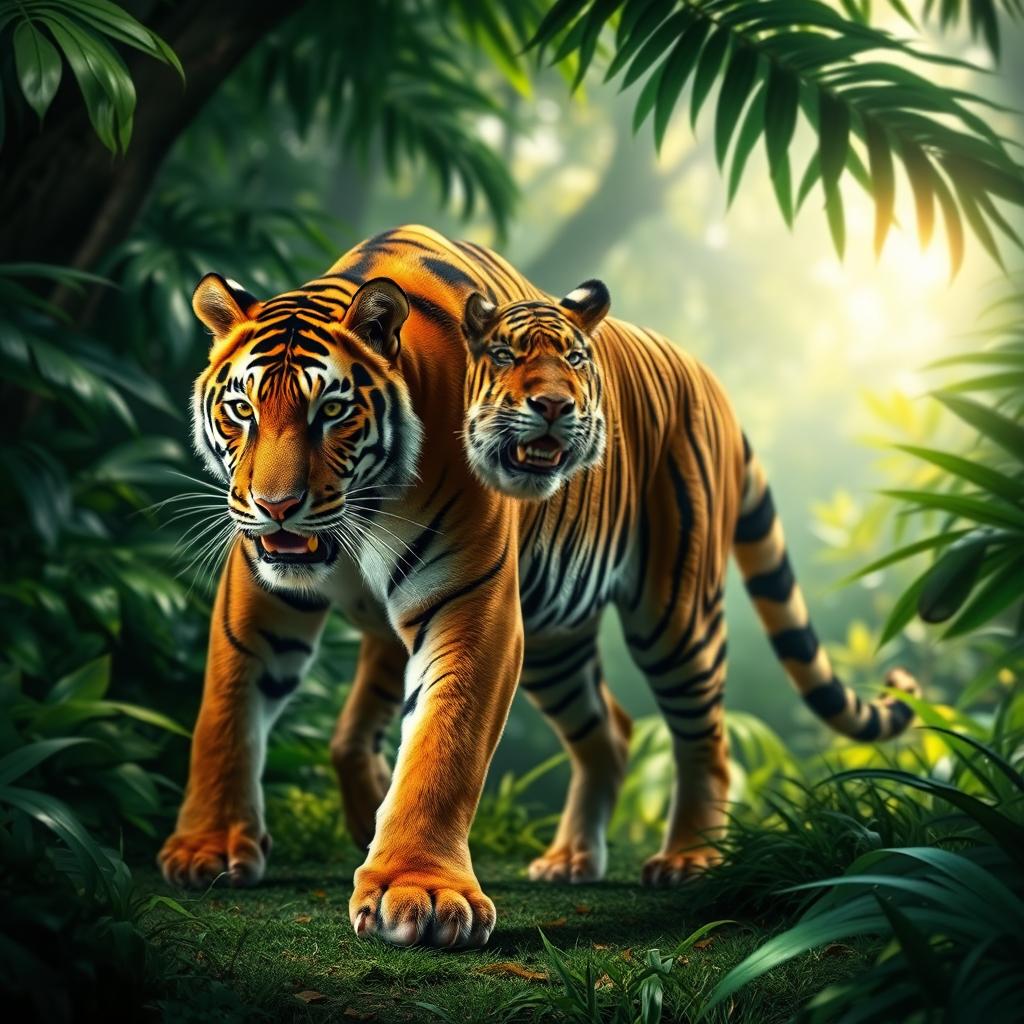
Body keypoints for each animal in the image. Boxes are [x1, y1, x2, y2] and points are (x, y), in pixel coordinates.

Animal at [158, 224, 919, 949]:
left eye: (332, 413)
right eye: (243, 411)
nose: (277, 506)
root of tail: (714, 385)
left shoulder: (471, 605)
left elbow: (444, 743)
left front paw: (420, 888)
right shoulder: (261, 595)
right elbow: (227, 708)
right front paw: (209, 848)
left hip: (674, 615)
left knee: (706, 735)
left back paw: (690, 858)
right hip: (556, 639)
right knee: (608, 731)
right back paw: (570, 858)